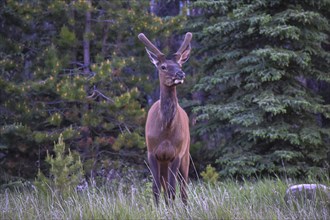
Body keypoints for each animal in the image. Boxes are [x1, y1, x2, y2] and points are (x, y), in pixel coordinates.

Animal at [139, 31, 191, 205]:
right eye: (163, 67)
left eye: (180, 65)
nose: (181, 74)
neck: (166, 131)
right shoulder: (152, 152)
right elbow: (155, 188)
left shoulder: (177, 153)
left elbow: (172, 189)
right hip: (164, 162)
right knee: (164, 185)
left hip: (186, 154)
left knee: (183, 188)